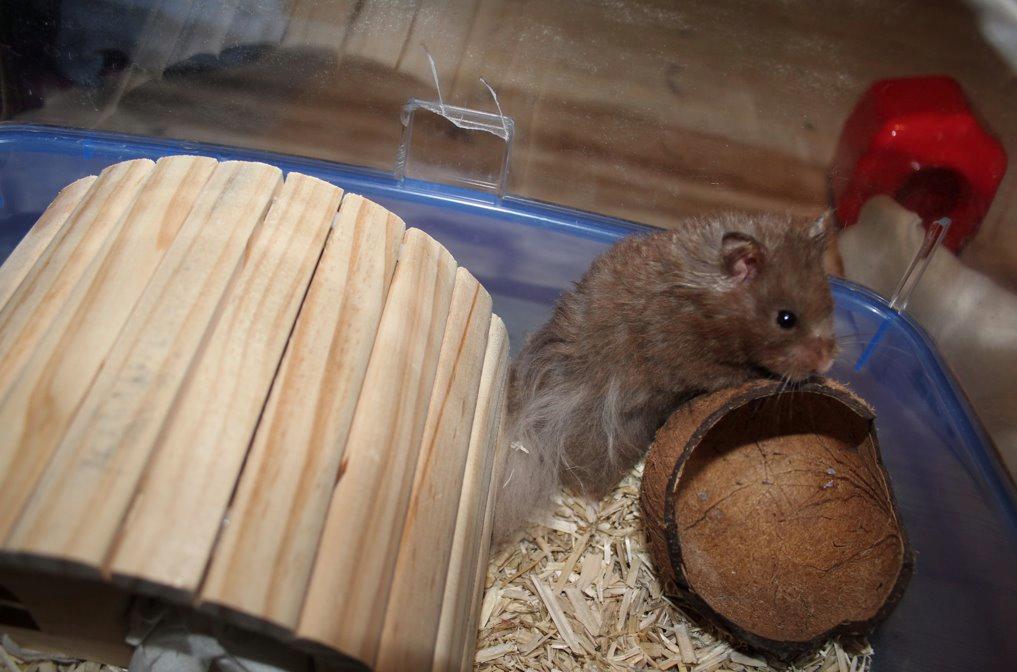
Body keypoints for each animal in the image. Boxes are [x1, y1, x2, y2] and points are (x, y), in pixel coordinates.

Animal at [493, 212, 838, 542]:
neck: (709, 307)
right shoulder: (685, 356)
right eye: (786, 319)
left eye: (830, 305)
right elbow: (727, 375)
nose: (828, 362)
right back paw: (591, 510)